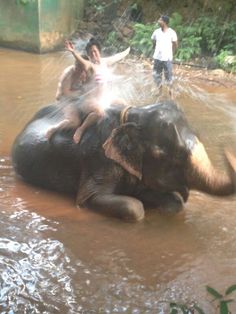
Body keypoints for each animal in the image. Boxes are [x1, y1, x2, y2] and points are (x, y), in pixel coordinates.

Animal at [11, 98, 236, 221]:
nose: (226, 148)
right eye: (164, 155)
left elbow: (170, 200)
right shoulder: (98, 158)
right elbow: (122, 205)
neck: (134, 114)